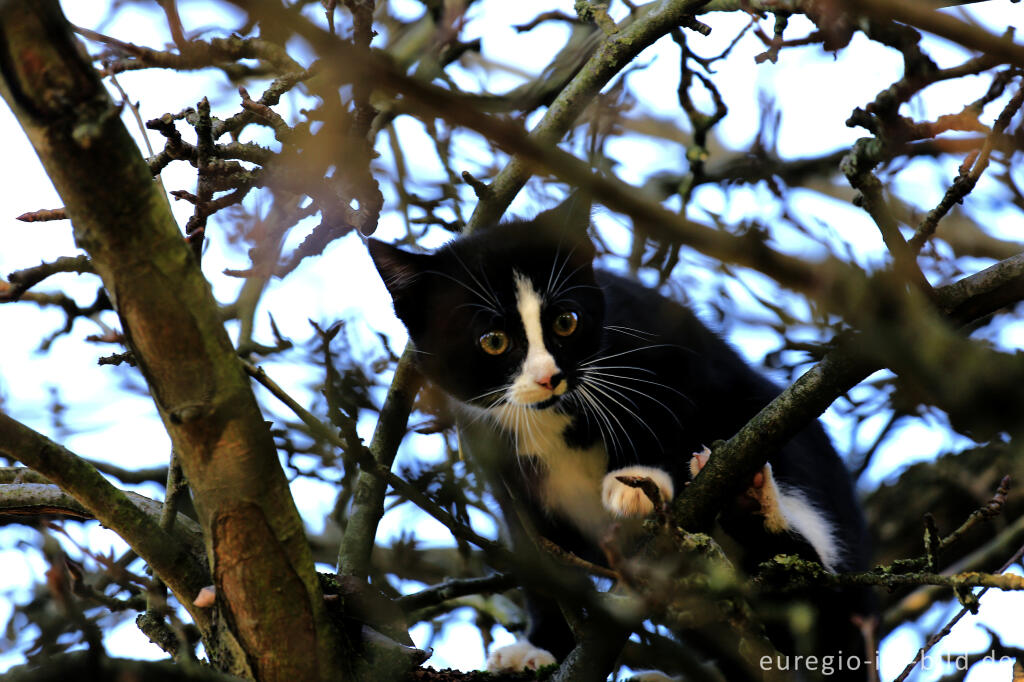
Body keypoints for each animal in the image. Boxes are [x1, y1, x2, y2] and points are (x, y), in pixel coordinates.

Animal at [368, 193, 872, 675]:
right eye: (493, 341)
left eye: (566, 321)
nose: (549, 376)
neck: (556, 416)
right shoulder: (500, 466)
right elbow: (542, 562)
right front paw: (541, 648)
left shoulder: (666, 342)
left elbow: (667, 407)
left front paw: (636, 480)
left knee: (814, 595)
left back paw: (749, 499)